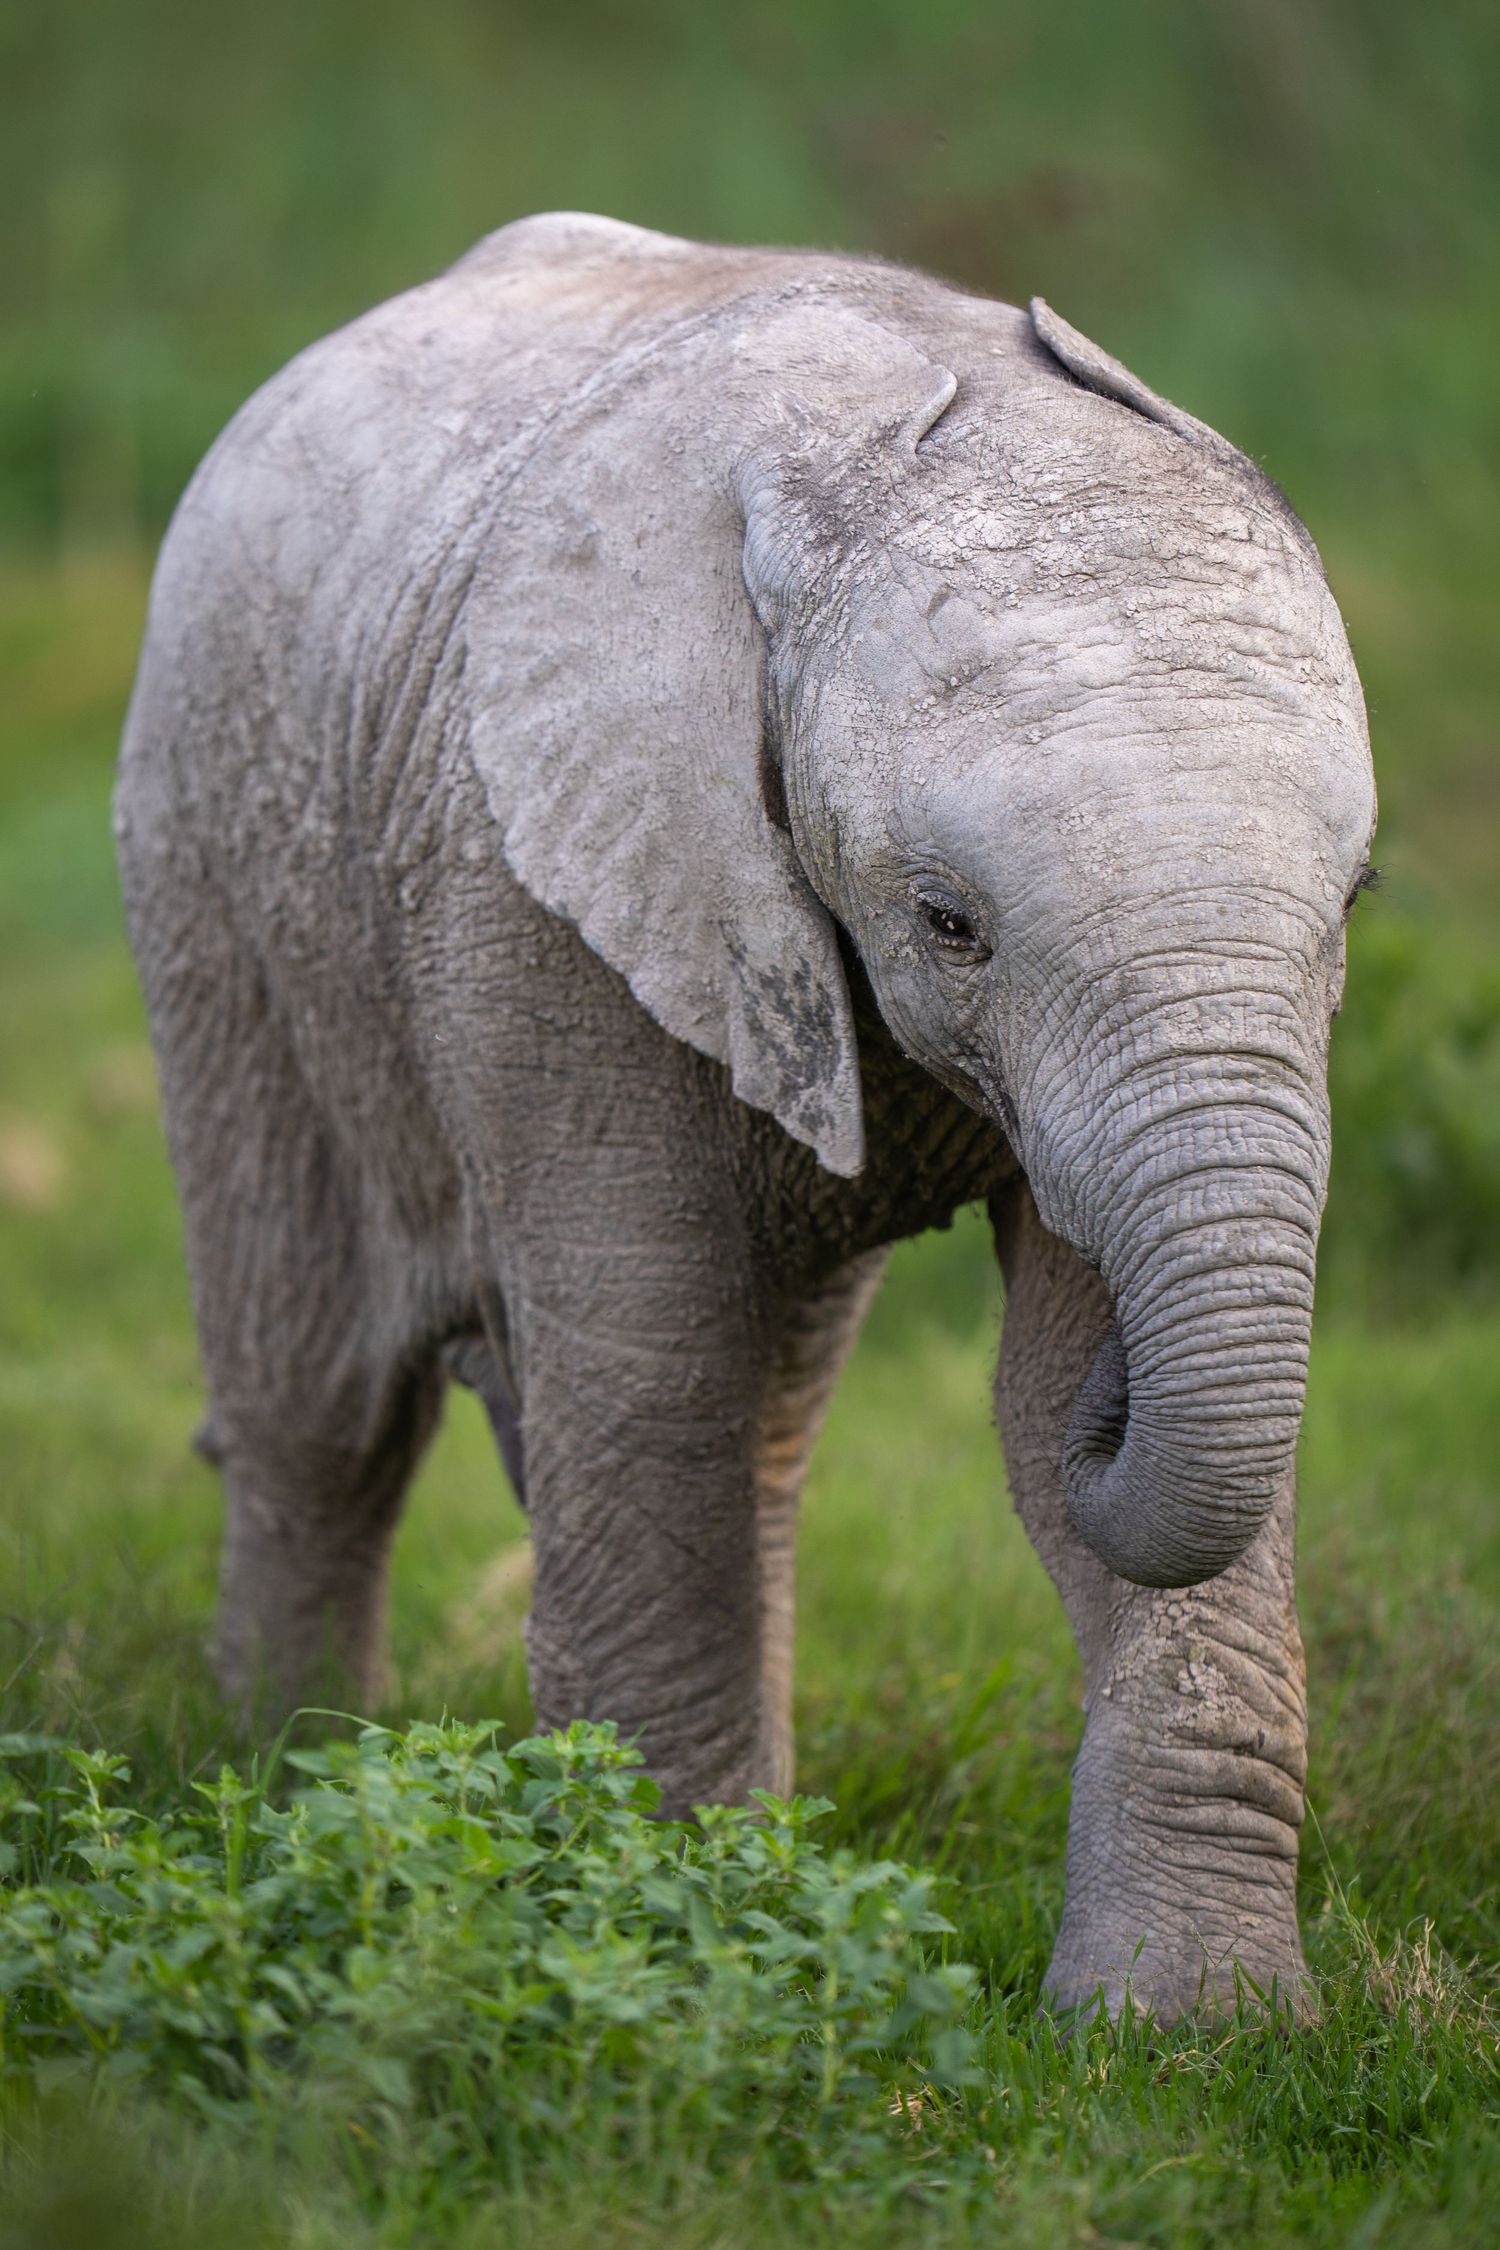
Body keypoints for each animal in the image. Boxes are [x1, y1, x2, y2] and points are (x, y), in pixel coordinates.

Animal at [115, 212, 1376, 2023]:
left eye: (1353, 900)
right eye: (949, 924)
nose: (1122, 1413)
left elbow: (1043, 1394)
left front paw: (1190, 2033)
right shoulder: (540, 896)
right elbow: (651, 1375)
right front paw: (675, 1971)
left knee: (761, 1431)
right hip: (207, 856)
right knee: (324, 1402)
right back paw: (276, 1781)